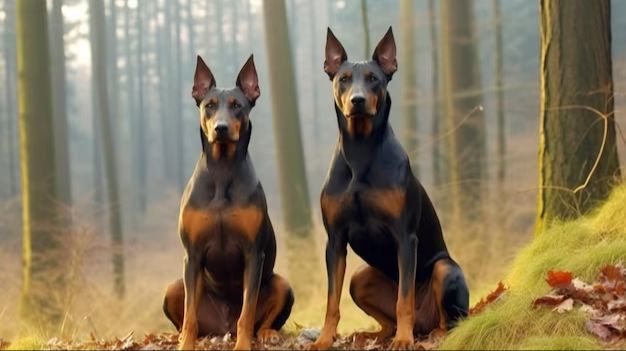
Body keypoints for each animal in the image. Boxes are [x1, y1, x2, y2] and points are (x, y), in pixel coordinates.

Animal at [163, 55, 294, 351]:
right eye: (209, 105)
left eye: (237, 106)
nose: (220, 129)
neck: (222, 171)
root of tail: (223, 329)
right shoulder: (192, 254)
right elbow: (189, 316)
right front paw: (186, 344)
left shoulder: (253, 253)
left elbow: (247, 312)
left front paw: (244, 345)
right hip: (173, 287)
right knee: (187, 316)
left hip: (282, 284)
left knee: (260, 319)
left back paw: (267, 333)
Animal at [308, 28, 468, 351]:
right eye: (344, 79)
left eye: (374, 78)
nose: (357, 101)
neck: (360, 150)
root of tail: (424, 323)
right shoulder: (335, 240)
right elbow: (332, 302)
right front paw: (324, 339)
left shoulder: (405, 237)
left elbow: (403, 300)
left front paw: (404, 341)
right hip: (361, 277)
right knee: (386, 319)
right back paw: (373, 334)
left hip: (445, 270)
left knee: (449, 319)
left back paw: (428, 334)